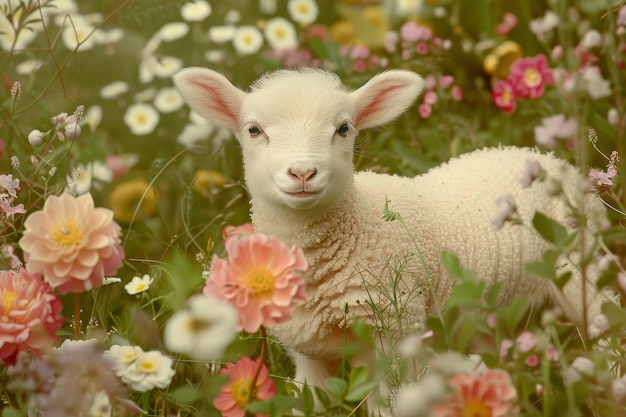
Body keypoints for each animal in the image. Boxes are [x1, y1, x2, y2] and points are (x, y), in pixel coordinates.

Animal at [172, 67, 616, 406]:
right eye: (253, 130)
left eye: (344, 128)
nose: (302, 173)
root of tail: (544, 158)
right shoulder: (307, 353)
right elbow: (305, 400)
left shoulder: (395, 330)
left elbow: (389, 403)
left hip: (586, 264)